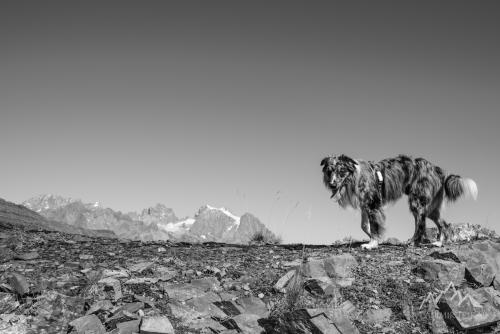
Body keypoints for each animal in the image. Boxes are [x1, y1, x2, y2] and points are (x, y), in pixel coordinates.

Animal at [320, 155, 476, 249]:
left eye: (341, 171)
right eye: (329, 171)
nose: (332, 185)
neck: (356, 176)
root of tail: (437, 169)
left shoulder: (373, 204)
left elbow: (375, 225)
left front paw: (372, 244)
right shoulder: (365, 205)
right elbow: (364, 225)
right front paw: (374, 238)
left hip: (417, 202)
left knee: (421, 224)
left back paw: (413, 242)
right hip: (431, 208)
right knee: (444, 224)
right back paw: (439, 242)